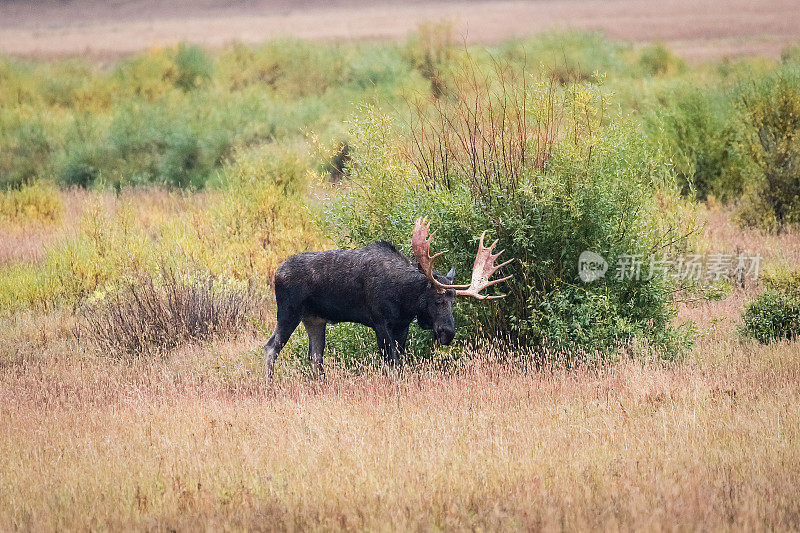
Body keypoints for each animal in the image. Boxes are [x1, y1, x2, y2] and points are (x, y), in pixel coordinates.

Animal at [262, 215, 512, 374]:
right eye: (437, 299)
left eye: (454, 301)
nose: (447, 333)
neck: (404, 299)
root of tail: (277, 272)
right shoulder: (379, 322)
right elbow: (391, 363)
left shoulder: (402, 326)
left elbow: (400, 363)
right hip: (288, 312)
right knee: (271, 347)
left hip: (314, 320)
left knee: (315, 358)